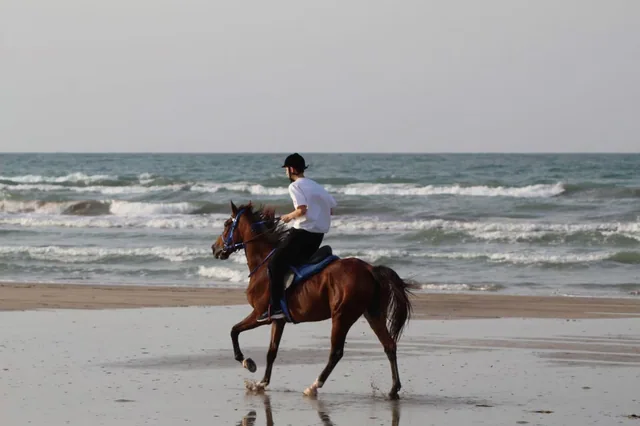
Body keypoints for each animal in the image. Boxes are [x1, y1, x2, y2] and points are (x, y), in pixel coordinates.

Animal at [211, 201, 413, 399]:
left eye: (226, 224)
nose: (215, 248)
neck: (263, 265)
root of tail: (370, 269)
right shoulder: (279, 321)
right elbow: (271, 352)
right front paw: (261, 383)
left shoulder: (260, 315)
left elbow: (234, 331)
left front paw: (247, 362)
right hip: (373, 314)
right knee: (389, 345)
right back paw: (393, 390)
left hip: (342, 316)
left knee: (336, 353)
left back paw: (314, 386)